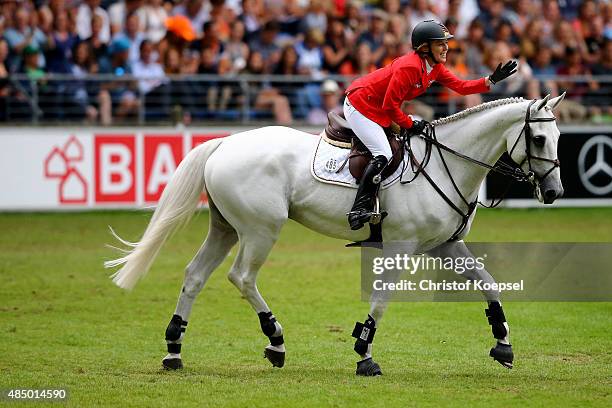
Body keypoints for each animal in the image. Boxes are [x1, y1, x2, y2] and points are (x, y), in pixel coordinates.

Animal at [105, 95, 564, 376]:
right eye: (539, 137)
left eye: (558, 137)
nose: (555, 192)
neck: (445, 163)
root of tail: (225, 143)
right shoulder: (400, 247)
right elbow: (380, 302)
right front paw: (365, 355)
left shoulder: (445, 245)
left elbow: (489, 285)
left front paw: (503, 344)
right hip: (260, 229)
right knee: (242, 277)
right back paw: (275, 341)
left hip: (226, 227)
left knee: (194, 276)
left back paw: (173, 350)